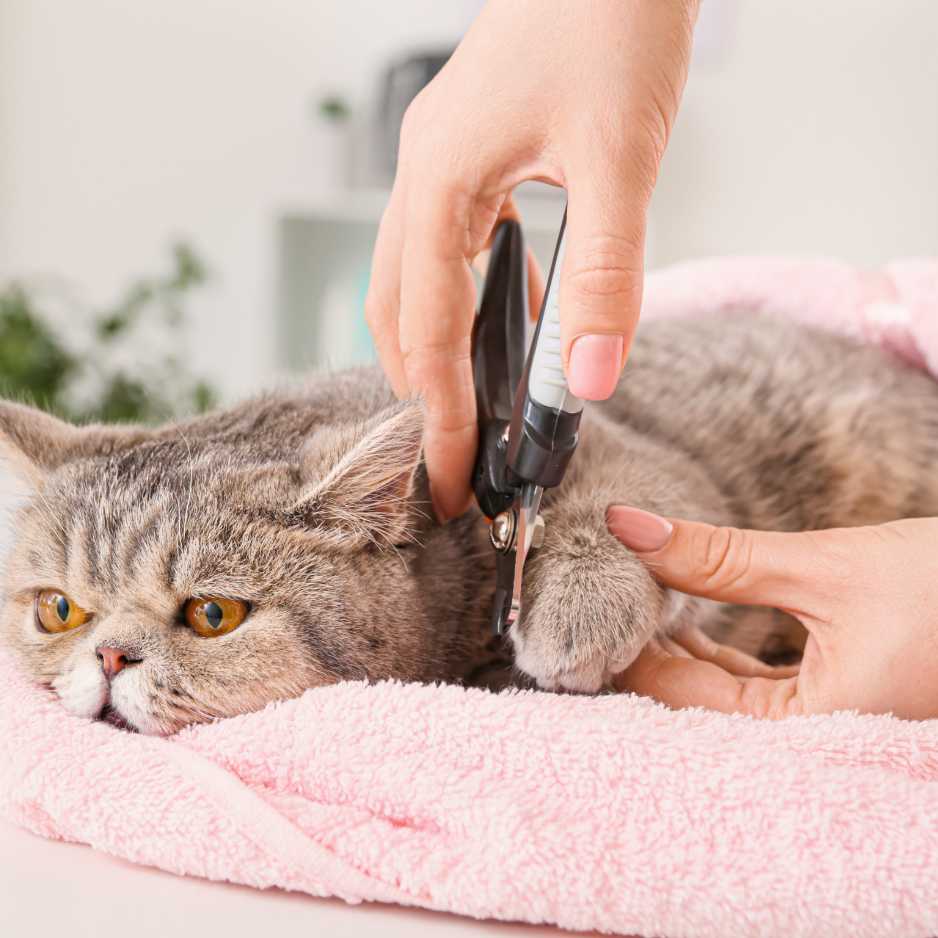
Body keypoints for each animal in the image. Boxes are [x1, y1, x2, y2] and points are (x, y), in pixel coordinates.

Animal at [1, 314, 936, 732]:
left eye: (212, 614)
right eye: (59, 610)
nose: (109, 656)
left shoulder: (642, 460)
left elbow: (609, 510)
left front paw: (576, 612)